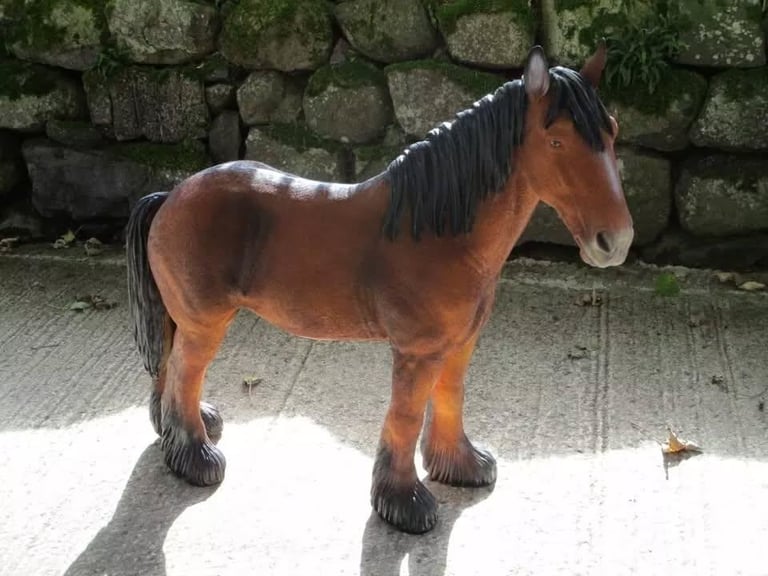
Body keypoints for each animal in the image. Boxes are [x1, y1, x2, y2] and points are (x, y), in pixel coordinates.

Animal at [126, 45, 633, 534]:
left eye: (612, 131)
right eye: (556, 141)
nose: (615, 241)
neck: (440, 231)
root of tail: (169, 197)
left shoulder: (460, 343)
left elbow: (450, 396)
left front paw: (460, 466)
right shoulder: (416, 351)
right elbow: (406, 417)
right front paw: (404, 503)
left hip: (184, 319)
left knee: (170, 366)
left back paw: (180, 429)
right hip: (205, 323)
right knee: (185, 373)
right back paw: (194, 458)